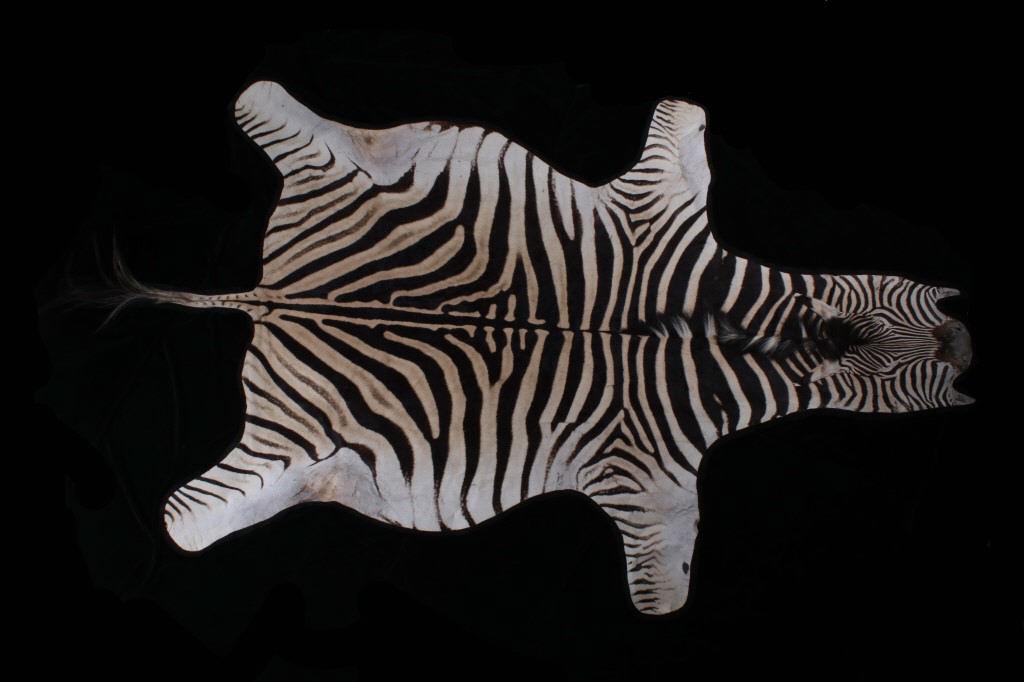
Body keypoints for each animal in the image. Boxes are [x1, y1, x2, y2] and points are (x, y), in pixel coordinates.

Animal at [120, 80, 974, 616]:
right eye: (921, 382)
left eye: (924, 317)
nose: (966, 344)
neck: (750, 337)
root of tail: (272, 293)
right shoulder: (650, 472)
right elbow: (667, 566)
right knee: (191, 520)